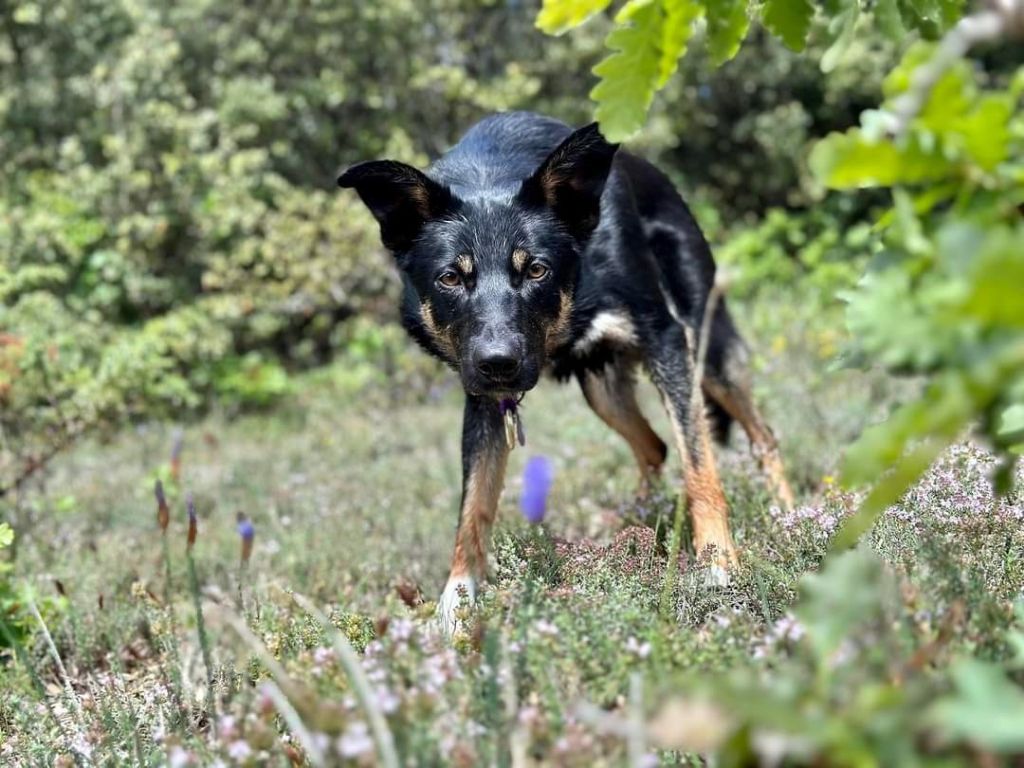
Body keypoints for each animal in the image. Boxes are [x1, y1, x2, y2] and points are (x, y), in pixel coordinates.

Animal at [339, 112, 794, 630]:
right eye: (450, 278)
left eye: (536, 270)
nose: (499, 363)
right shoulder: (483, 399)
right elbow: (473, 507)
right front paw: (454, 607)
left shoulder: (666, 339)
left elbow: (700, 468)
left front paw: (718, 565)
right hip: (602, 389)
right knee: (653, 447)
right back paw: (635, 521)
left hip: (705, 353)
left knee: (760, 436)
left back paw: (790, 516)